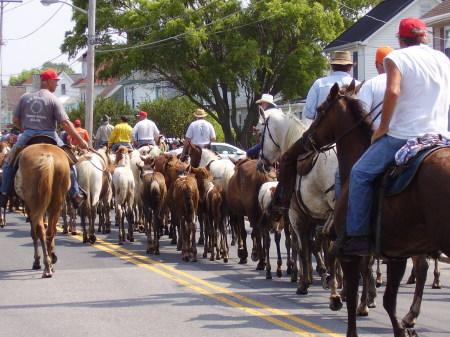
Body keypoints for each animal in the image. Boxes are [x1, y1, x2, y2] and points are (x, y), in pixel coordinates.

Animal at [14, 143, 71, 276]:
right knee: (50, 231)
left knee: (39, 231)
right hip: (56, 202)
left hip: (34, 203)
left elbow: (33, 233)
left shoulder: (29, 207)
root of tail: (47, 155)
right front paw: (53, 256)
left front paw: (37, 261)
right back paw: (49, 265)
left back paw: (45, 265)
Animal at [300, 80, 450, 336]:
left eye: (320, 110)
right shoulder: (396, 254)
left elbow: (352, 294)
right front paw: (400, 327)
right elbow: (389, 300)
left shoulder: (349, 250)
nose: (305, 138)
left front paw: (346, 303)